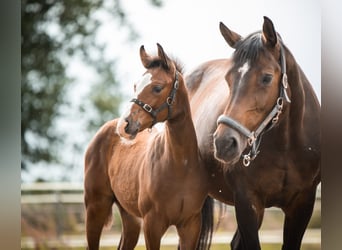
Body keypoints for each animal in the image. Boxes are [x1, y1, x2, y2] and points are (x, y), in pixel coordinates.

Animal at [84, 44, 212, 249]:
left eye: (157, 87)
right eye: (135, 86)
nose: (124, 125)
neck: (180, 165)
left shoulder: (191, 225)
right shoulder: (152, 225)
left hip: (130, 218)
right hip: (96, 207)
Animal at [186, 16, 320, 249]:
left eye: (266, 78)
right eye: (228, 79)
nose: (224, 143)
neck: (286, 147)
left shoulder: (303, 203)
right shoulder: (247, 203)